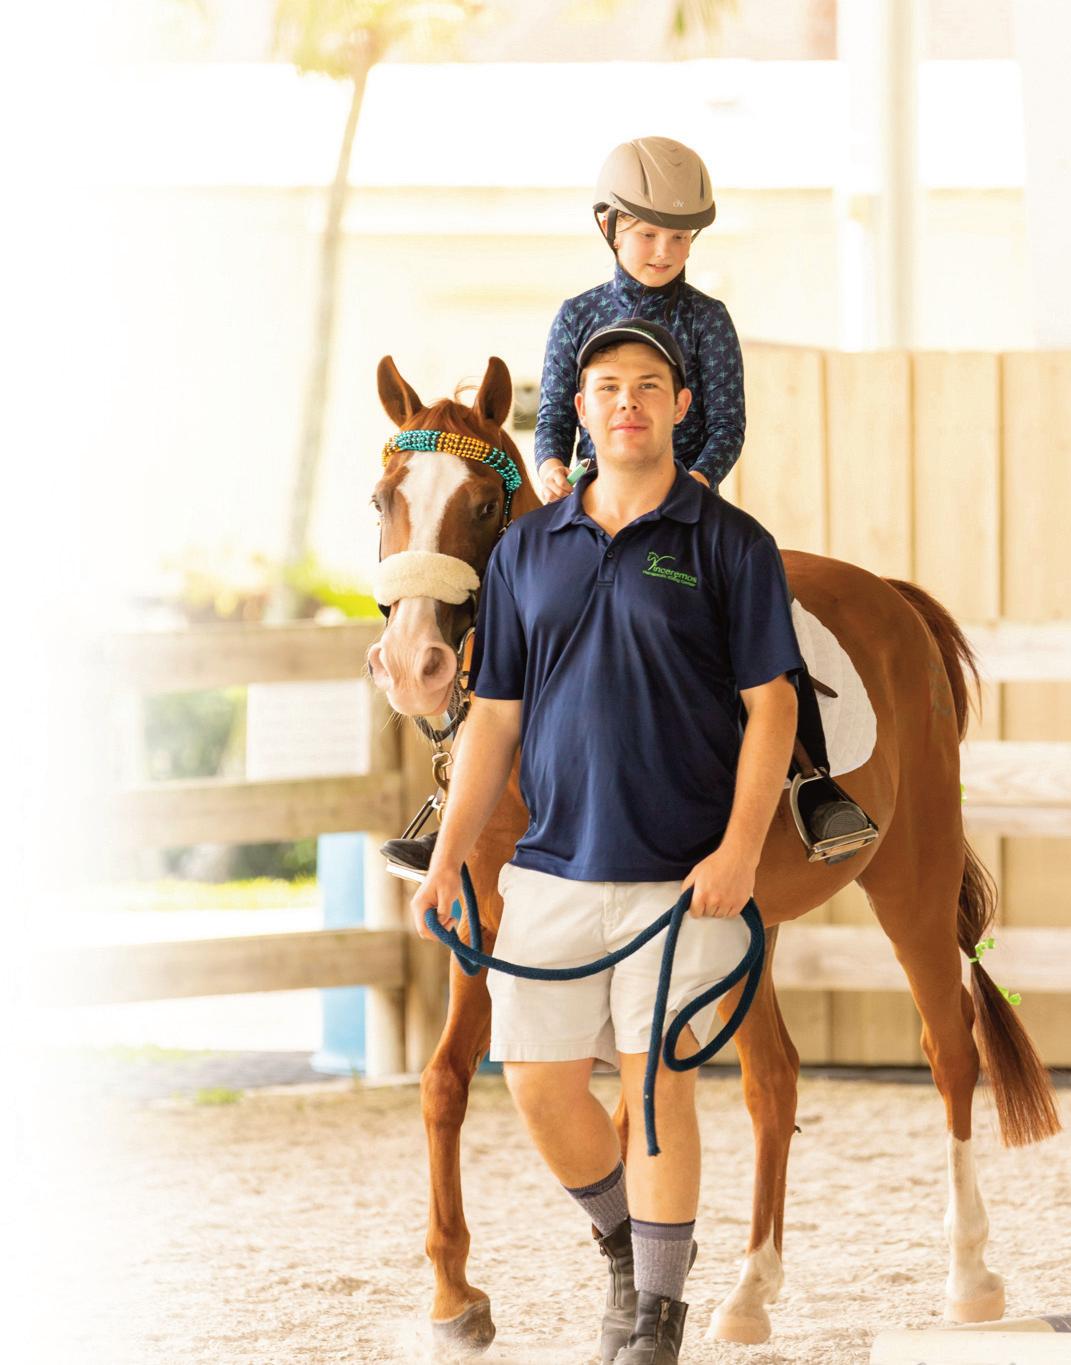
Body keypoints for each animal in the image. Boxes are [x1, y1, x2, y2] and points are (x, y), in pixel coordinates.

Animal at [366, 353, 1061, 1353]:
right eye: (384, 498)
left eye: (485, 506)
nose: (412, 661)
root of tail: (891, 598)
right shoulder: (482, 923)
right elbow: (447, 1082)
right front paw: (455, 1296)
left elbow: (627, 1106)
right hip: (747, 927)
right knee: (774, 1079)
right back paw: (750, 1290)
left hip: (911, 883)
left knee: (947, 1049)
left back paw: (967, 1278)